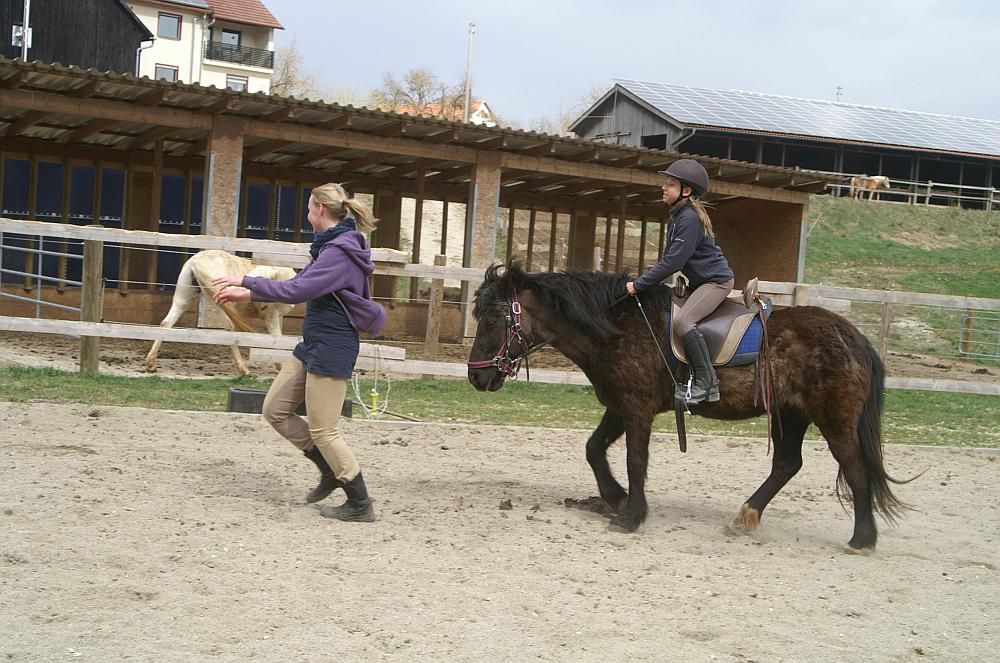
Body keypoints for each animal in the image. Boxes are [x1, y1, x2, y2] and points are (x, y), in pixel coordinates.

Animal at [145, 250, 296, 376]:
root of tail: (196, 261)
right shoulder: (271, 315)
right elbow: (277, 338)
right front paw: (280, 366)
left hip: (183, 298)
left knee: (166, 323)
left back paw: (151, 364)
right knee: (229, 331)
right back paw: (243, 369)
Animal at [467, 263, 912, 552]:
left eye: (492, 318)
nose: (475, 376)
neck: (617, 327)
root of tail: (852, 336)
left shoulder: (636, 409)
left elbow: (635, 460)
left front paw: (631, 515)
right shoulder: (619, 406)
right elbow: (594, 450)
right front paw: (616, 498)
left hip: (834, 419)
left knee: (855, 470)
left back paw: (862, 539)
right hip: (790, 415)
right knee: (787, 465)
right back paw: (745, 516)